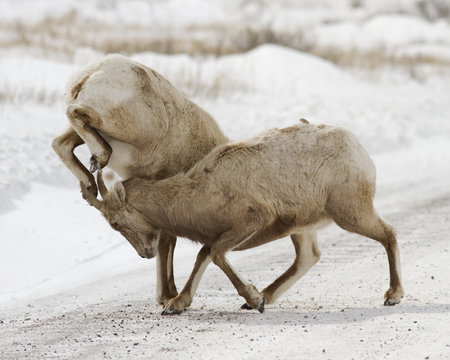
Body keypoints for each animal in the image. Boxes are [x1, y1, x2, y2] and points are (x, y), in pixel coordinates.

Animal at [51, 54, 229, 306]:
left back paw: (89, 184)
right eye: (115, 225)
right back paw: (100, 157)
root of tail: (91, 73)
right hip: (118, 124)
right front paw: (166, 297)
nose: (144, 253)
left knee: (61, 142)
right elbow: (167, 242)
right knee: (73, 113)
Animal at [80, 120, 404, 312]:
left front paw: (252, 298)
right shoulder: (217, 237)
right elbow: (204, 255)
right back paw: (267, 296)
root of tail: (356, 147)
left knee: (389, 234)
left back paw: (393, 296)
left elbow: (216, 254)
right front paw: (177, 304)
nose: (145, 253)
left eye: (115, 222)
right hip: (302, 228)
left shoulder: (253, 219)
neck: (197, 192)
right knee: (307, 257)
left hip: (351, 213)